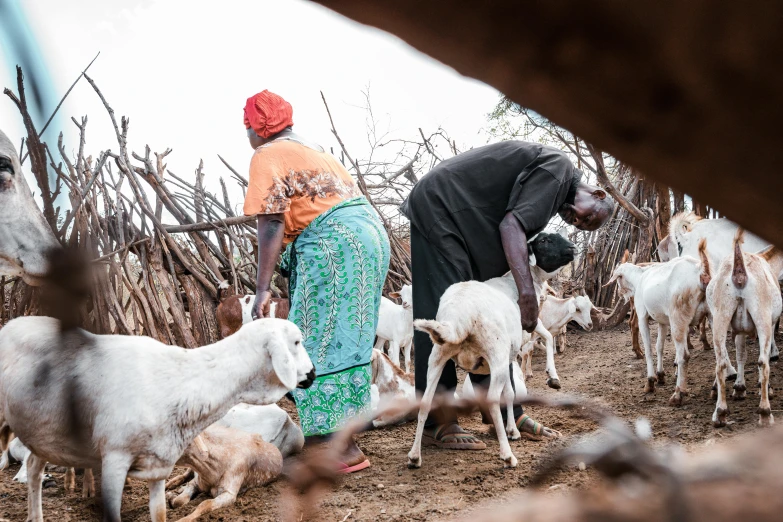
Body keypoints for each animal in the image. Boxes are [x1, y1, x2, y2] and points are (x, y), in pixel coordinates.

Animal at [0, 312, 314, 520]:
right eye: (297, 341)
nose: (312, 374)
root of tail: (13, 322)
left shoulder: (160, 465)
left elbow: (161, 512)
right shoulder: (114, 460)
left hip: (42, 433)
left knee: (34, 470)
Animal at [608, 238, 712, 404]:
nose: (619, 294)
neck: (640, 278)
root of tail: (701, 271)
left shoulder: (643, 316)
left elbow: (649, 348)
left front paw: (650, 381)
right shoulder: (662, 321)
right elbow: (659, 347)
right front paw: (661, 375)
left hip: (678, 319)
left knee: (684, 356)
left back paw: (678, 394)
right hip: (713, 315)